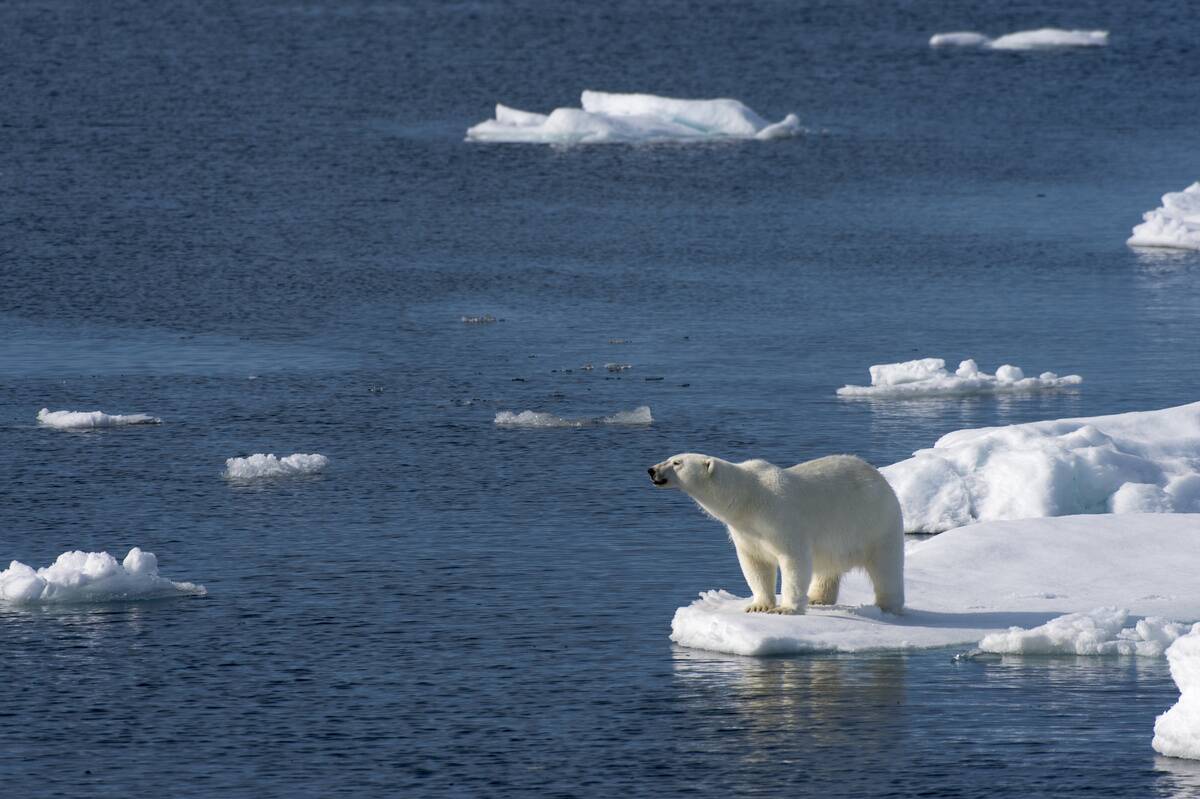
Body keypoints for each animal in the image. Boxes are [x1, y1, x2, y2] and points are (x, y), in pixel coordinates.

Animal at [648, 453, 904, 615]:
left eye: (677, 462)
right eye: (671, 457)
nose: (651, 470)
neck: (749, 498)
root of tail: (880, 477)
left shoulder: (780, 518)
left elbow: (794, 561)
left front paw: (785, 608)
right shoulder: (746, 531)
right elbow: (755, 564)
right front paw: (759, 606)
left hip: (876, 522)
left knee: (886, 567)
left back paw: (888, 606)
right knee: (827, 568)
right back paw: (817, 598)